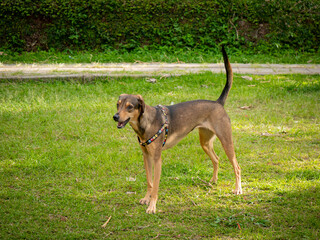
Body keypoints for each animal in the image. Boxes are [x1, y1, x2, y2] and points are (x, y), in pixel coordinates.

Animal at [114, 47, 241, 214]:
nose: (115, 117)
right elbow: (149, 182)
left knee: (237, 167)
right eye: (118, 104)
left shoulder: (157, 159)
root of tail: (218, 103)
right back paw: (213, 180)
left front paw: (152, 206)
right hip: (205, 143)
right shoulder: (146, 157)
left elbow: (155, 186)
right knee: (216, 159)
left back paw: (238, 189)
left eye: (130, 107)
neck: (145, 124)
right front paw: (146, 199)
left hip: (226, 141)